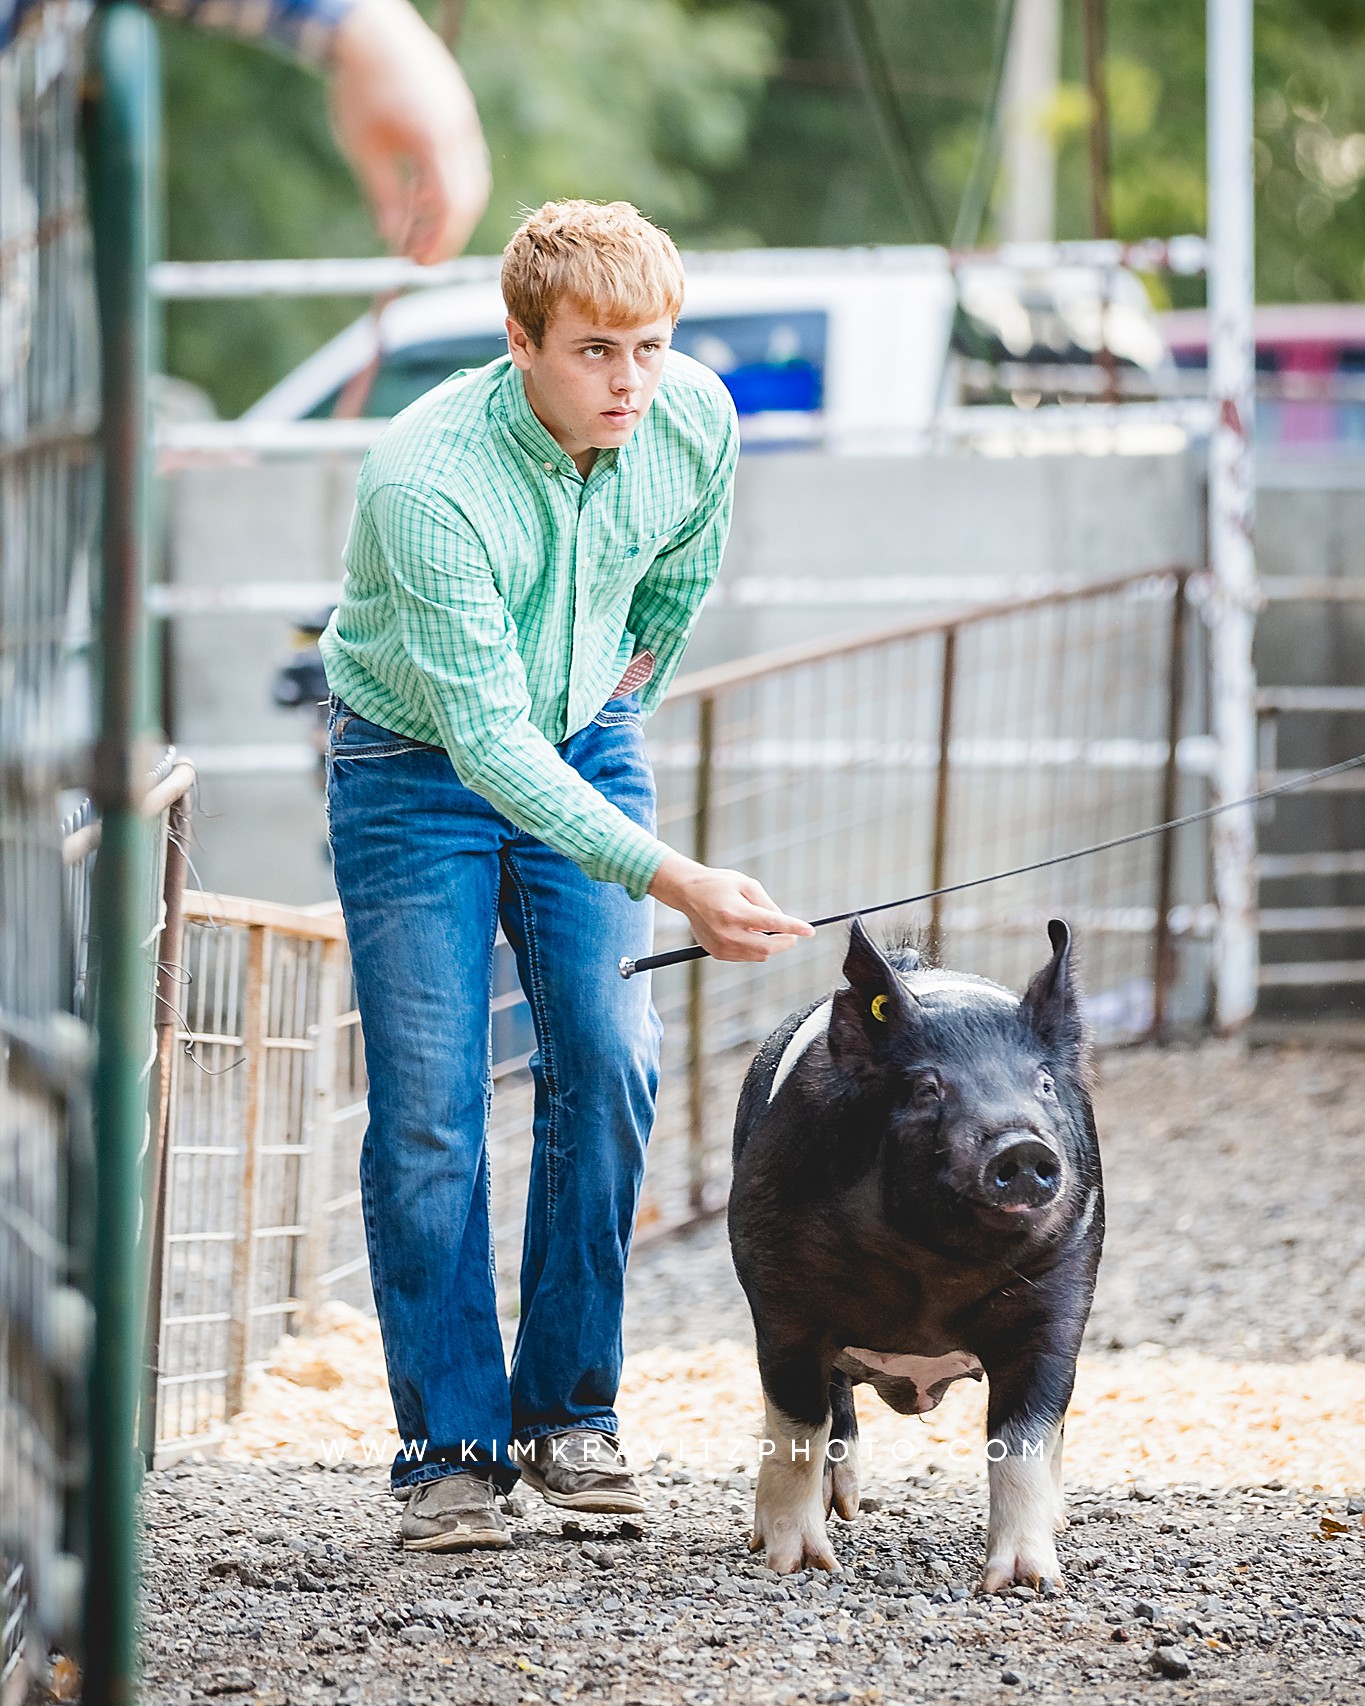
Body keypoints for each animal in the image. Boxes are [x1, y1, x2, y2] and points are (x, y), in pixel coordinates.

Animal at [730, 914, 1105, 1589]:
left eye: (1042, 1084)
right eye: (929, 1087)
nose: (1022, 1146)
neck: (933, 1279)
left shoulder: (1061, 1295)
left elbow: (1024, 1434)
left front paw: (1027, 1583)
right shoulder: (778, 1296)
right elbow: (797, 1426)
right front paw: (796, 1564)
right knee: (833, 1402)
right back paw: (844, 1508)